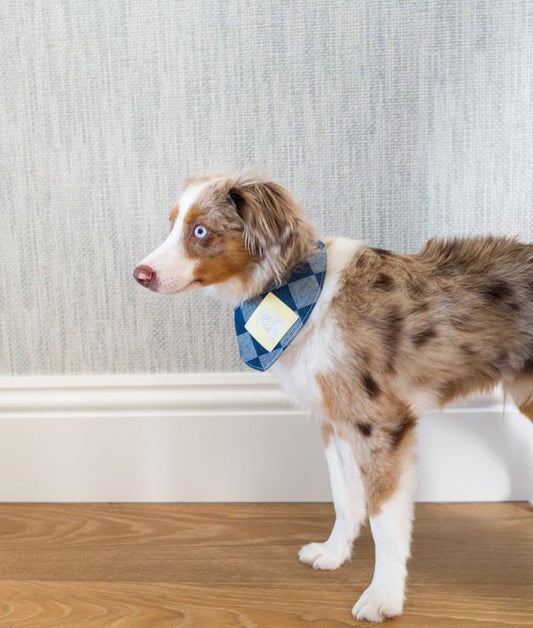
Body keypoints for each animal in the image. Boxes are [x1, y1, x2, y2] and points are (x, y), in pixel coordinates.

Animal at [134, 170, 532, 624]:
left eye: (200, 231)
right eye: (171, 225)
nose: (139, 273)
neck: (298, 295)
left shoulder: (380, 423)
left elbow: (385, 520)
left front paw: (384, 596)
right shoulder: (335, 420)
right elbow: (345, 497)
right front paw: (334, 553)